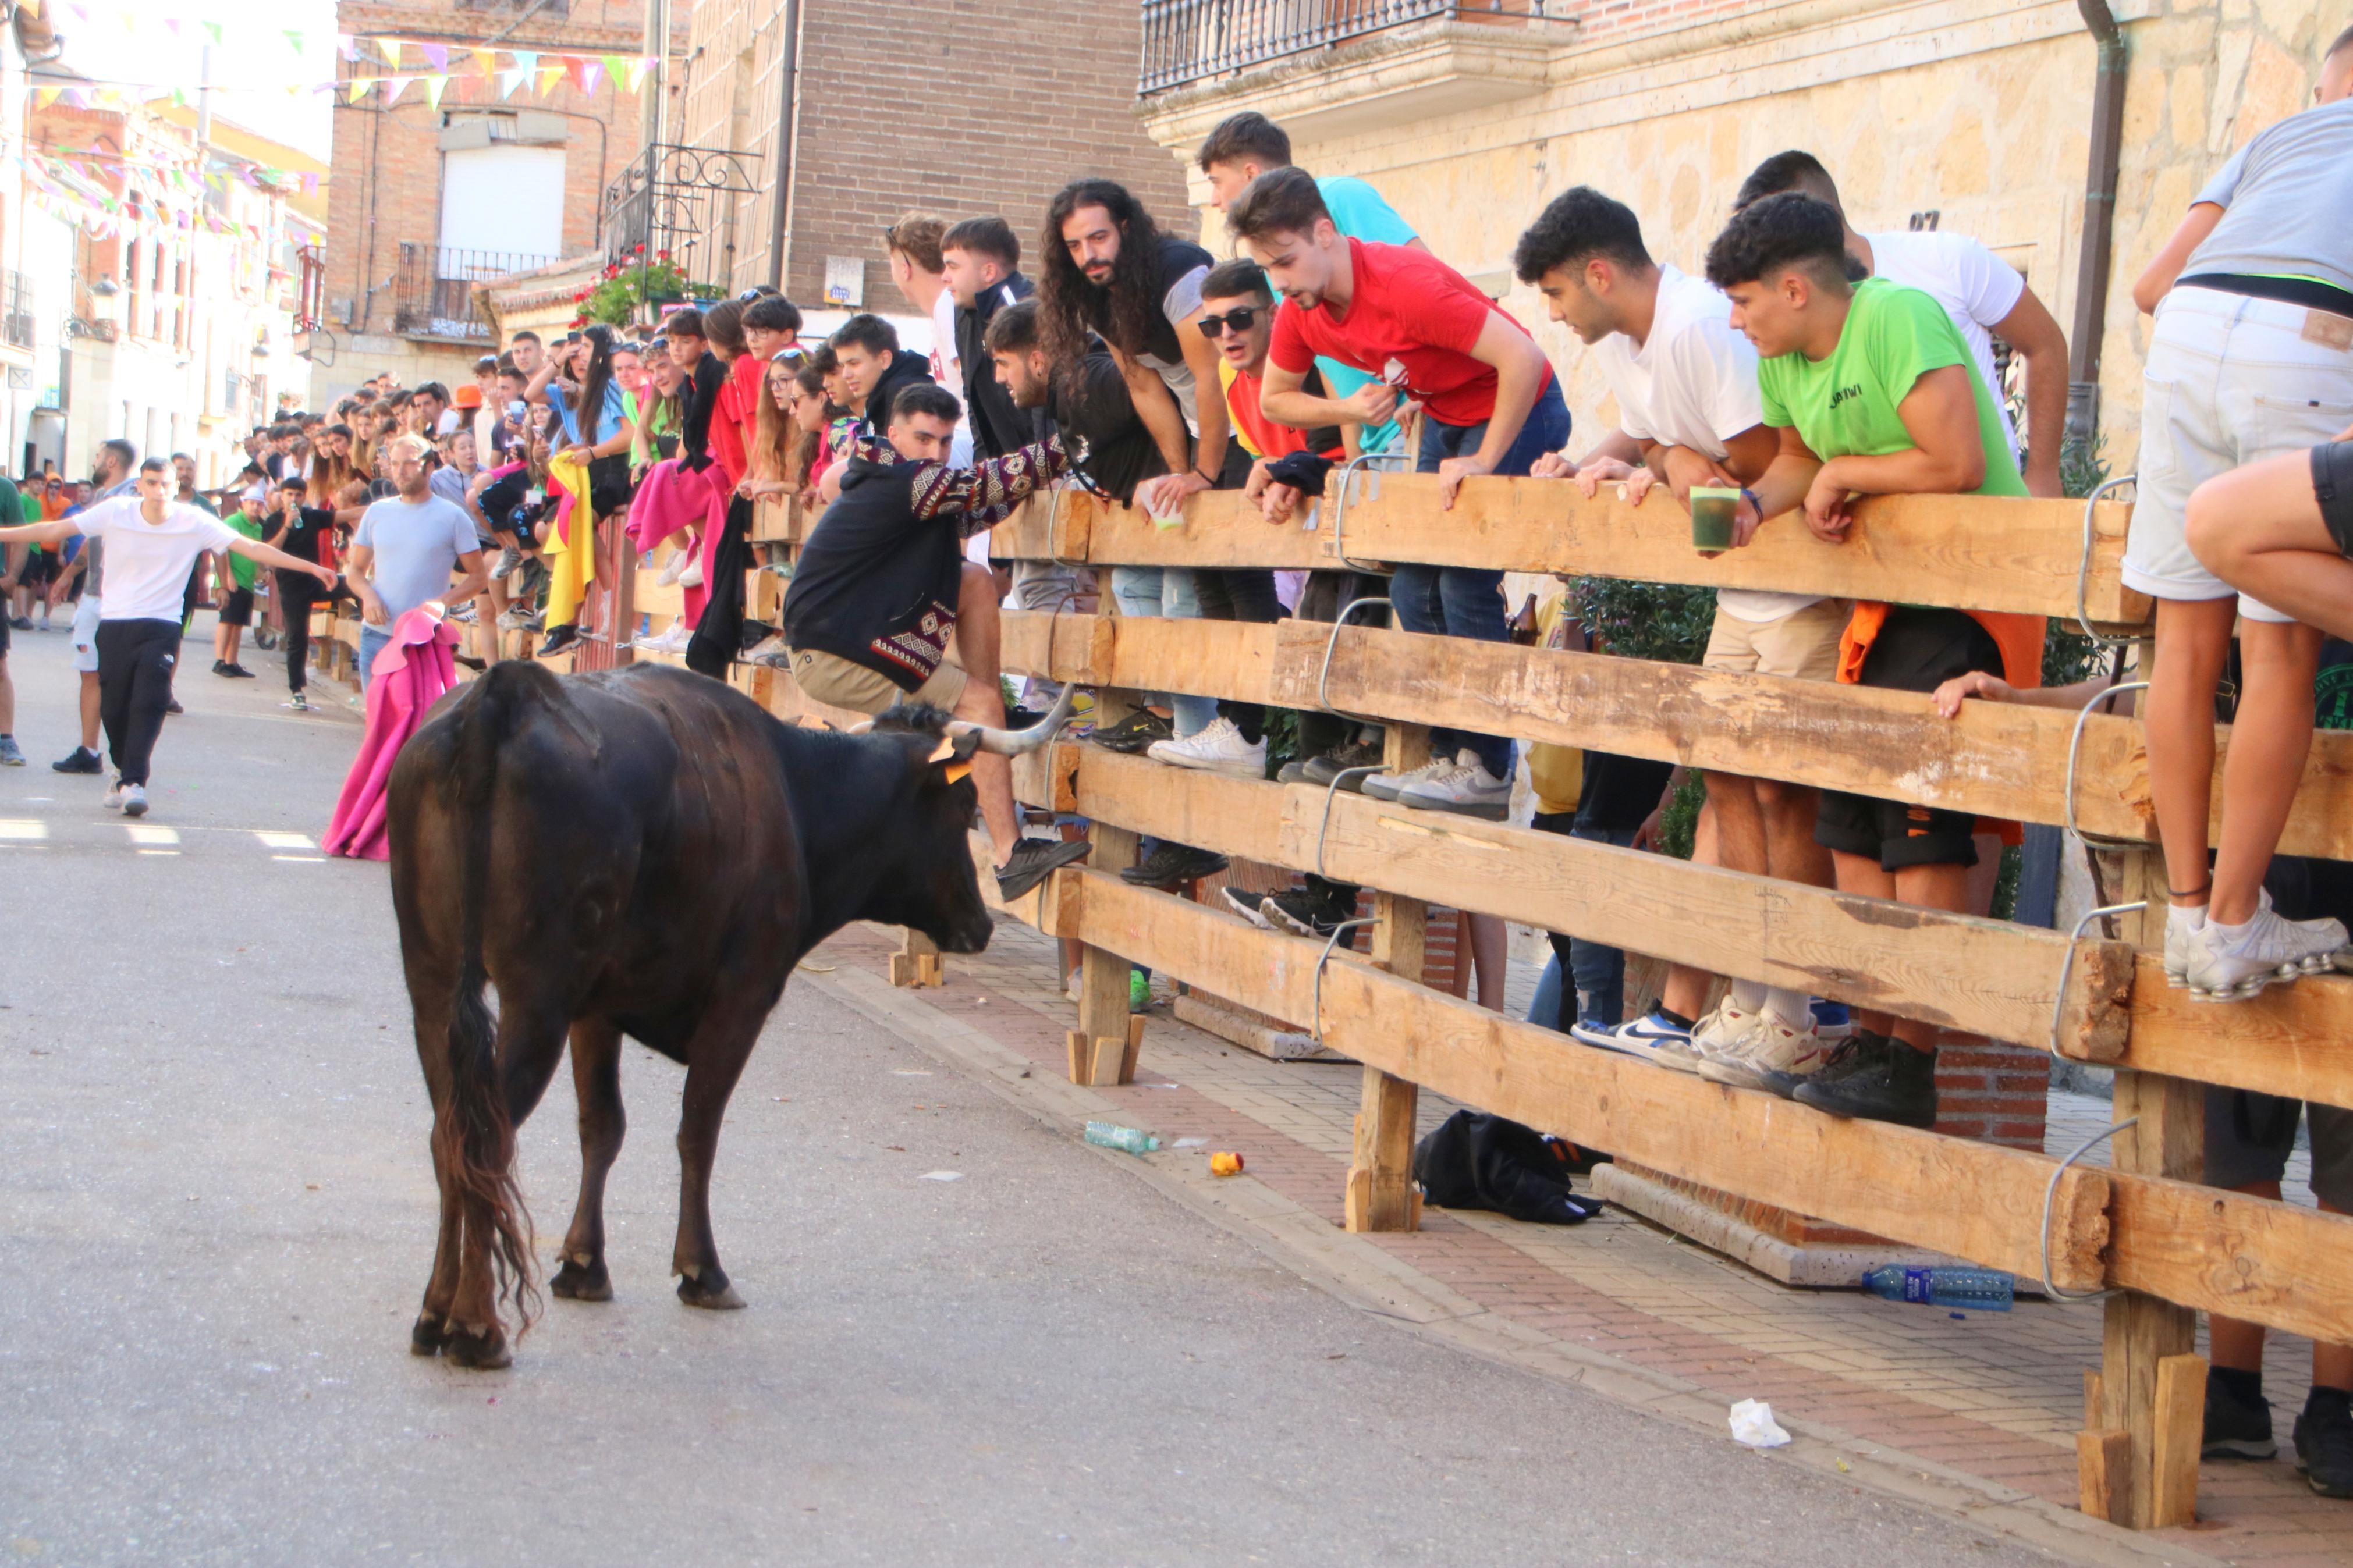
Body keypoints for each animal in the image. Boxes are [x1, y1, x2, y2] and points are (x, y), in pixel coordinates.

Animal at [388, 663, 1068, 1373]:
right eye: (963, 806)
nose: (981, 924)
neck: (794, 794)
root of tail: (507, 692)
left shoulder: (596, 1008)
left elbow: (602, 1127)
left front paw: (583, 1263)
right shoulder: (740, 997)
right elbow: (699, 1131)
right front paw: (701, 1270)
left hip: (433, 986)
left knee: (449, 1133)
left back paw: (434, 1314)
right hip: (535, 1000)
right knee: (486, 1137)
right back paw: (476, 1326)